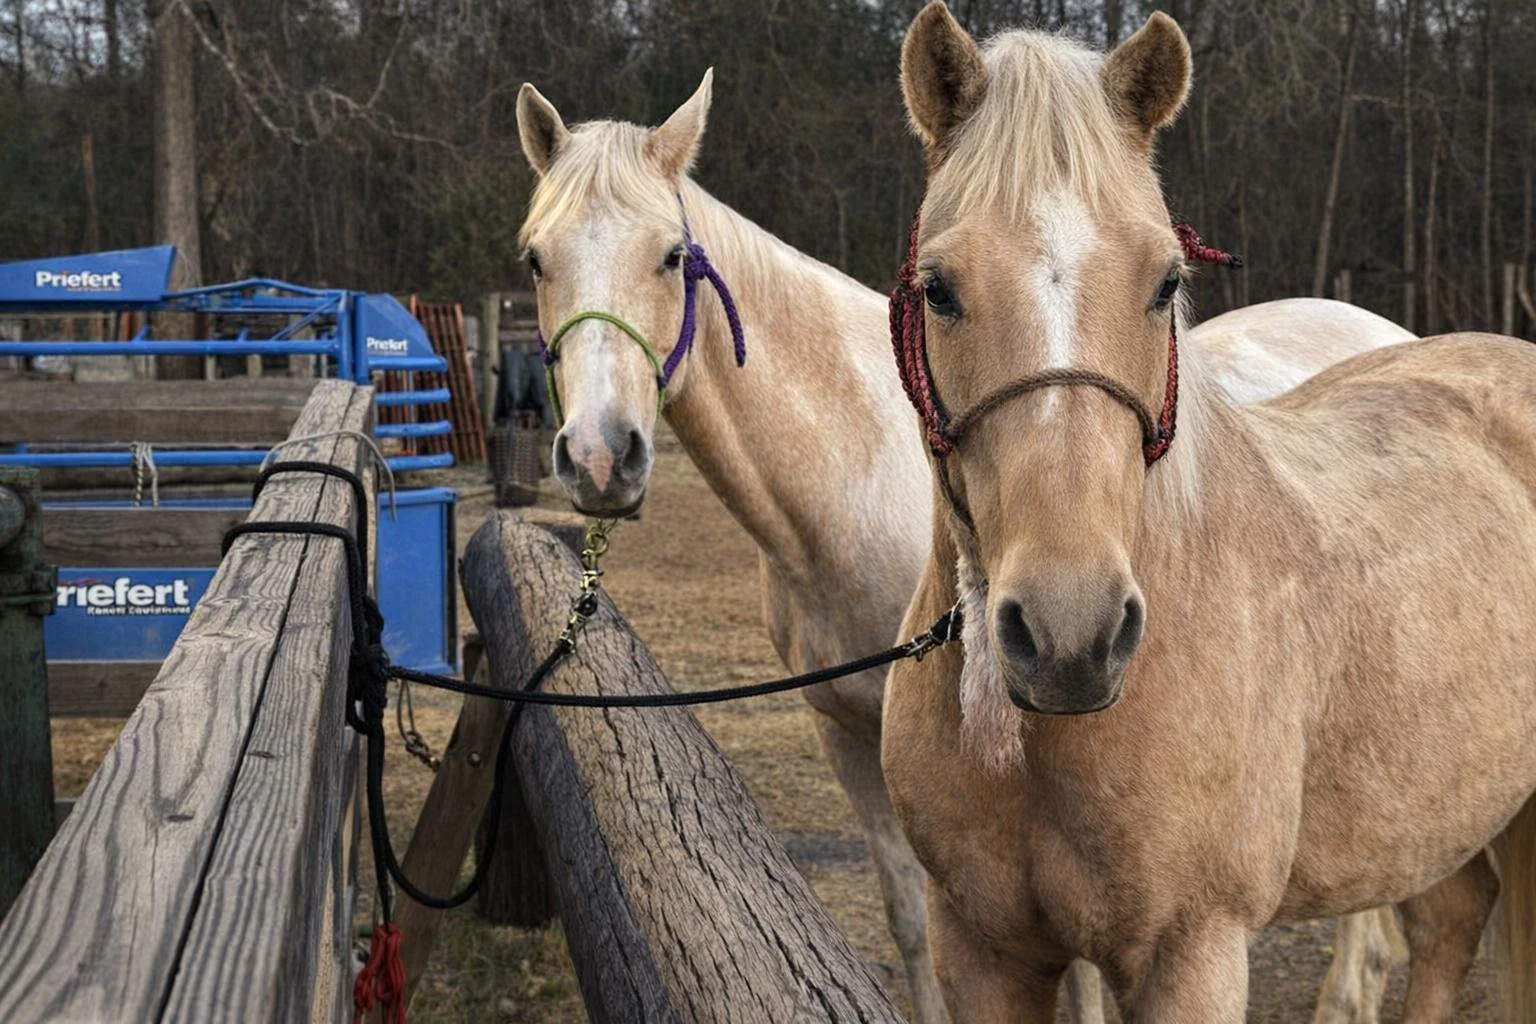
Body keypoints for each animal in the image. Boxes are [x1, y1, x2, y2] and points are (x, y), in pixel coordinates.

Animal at [515, 71, 1418, 1023]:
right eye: (536, 259)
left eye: (670, 257)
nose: (599, 456)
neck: (854, 471)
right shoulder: (848, 739)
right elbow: (909, 918)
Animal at [882, 4, 1536, 1021]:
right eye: (939, 289)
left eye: (1165, 282)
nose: (1071, 634)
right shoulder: (981, 950)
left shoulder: (1192, 950)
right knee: (1448, 925)